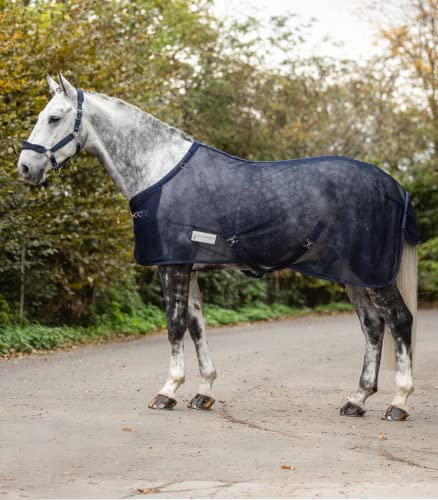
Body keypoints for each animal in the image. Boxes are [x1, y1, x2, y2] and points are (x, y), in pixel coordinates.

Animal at [17, 73, 420, 418]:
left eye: (54, 117)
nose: (25, 168)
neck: (159, 170)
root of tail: (394, 186)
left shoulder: (172, 265)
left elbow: (175, 324)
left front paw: (167, 391)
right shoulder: (187, 265)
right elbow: (197, 324)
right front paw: (203, 391)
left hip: (374, 274)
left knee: (399, 320)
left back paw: (398, 402)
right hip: (356, 276)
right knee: (373, 326)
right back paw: (357, 399)